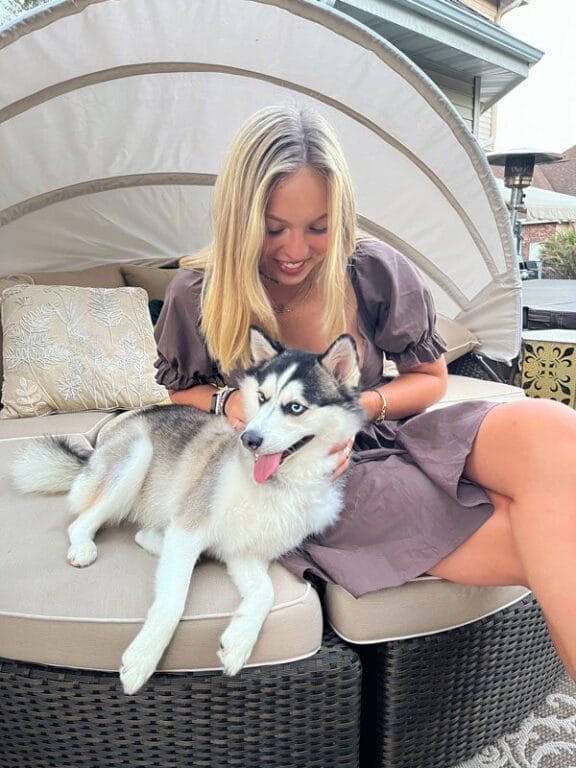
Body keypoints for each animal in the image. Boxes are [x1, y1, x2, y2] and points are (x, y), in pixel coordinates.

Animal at [11, 328, 362, 692]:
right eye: (262, 398)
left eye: (294, 407)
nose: (248, 439)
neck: (276, 486)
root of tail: (96, 450)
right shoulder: (190, 527)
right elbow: (172, 601)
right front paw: (142, 658)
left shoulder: (245, 554)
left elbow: (266, 592)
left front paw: (238, 642)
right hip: (135, 456)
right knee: (81, 522)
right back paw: (84, 545)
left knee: (144, 533)